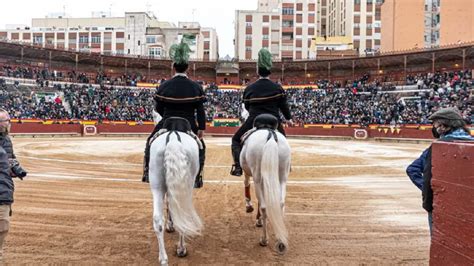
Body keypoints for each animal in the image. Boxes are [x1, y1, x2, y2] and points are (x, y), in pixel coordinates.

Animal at [148, 127, 200, 264]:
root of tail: (173, 138)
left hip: (156, 183)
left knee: (158, 220)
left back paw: (163, 259)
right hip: (187, 184)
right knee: (182, 213)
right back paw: (181, 249)